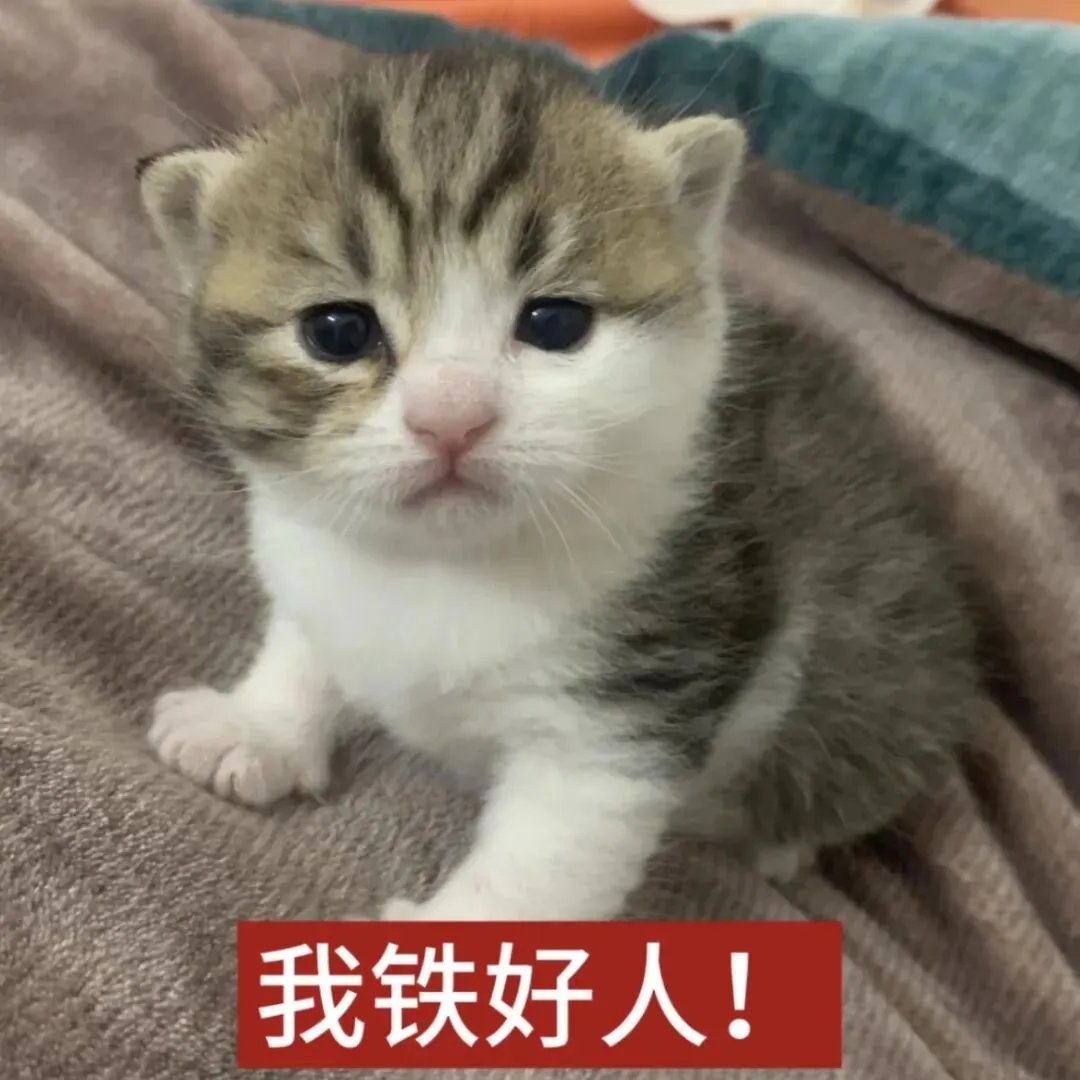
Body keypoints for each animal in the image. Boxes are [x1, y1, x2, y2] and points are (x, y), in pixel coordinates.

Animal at [139, 41, 979, 921]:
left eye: (555, 323)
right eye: (338, 331)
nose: (451, 418)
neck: (445, 568)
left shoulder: (630, 702)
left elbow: (547, 858)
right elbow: (307, 636)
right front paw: (257, 723)